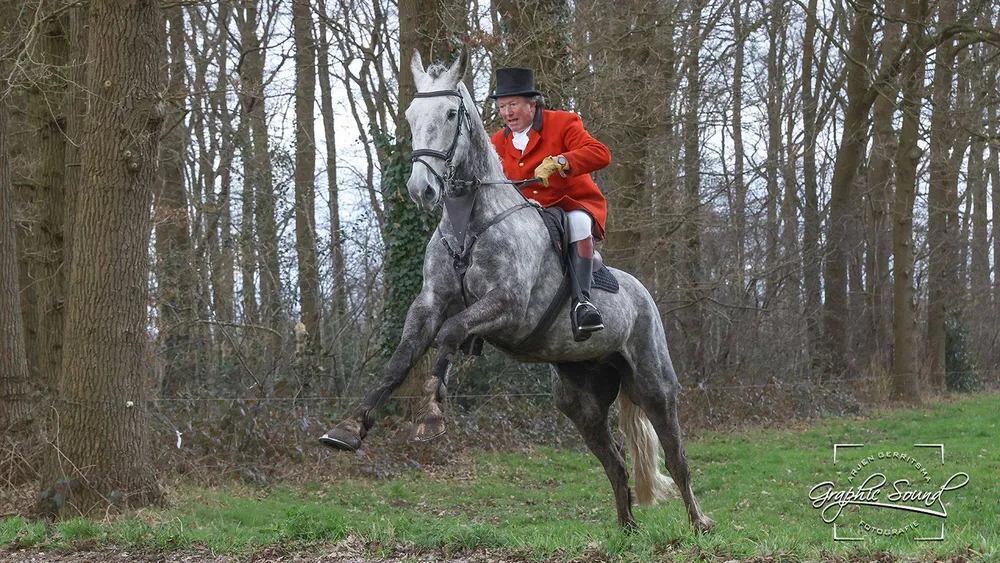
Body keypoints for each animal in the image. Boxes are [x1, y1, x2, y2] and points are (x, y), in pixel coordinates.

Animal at [319, 49, 714, 533]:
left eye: (451, 114)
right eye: (411, 115)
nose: (421, 190)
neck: (467, 223)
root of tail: (642, 292)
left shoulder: (507, 308)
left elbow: (451, 332)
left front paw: (430, 415)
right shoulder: (428, 304)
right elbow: (402, 358)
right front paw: (349, 427)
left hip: (654, 384)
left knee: (677, 458)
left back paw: (700, 525)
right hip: (579, 402)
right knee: (615, 462)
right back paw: (626, 530)